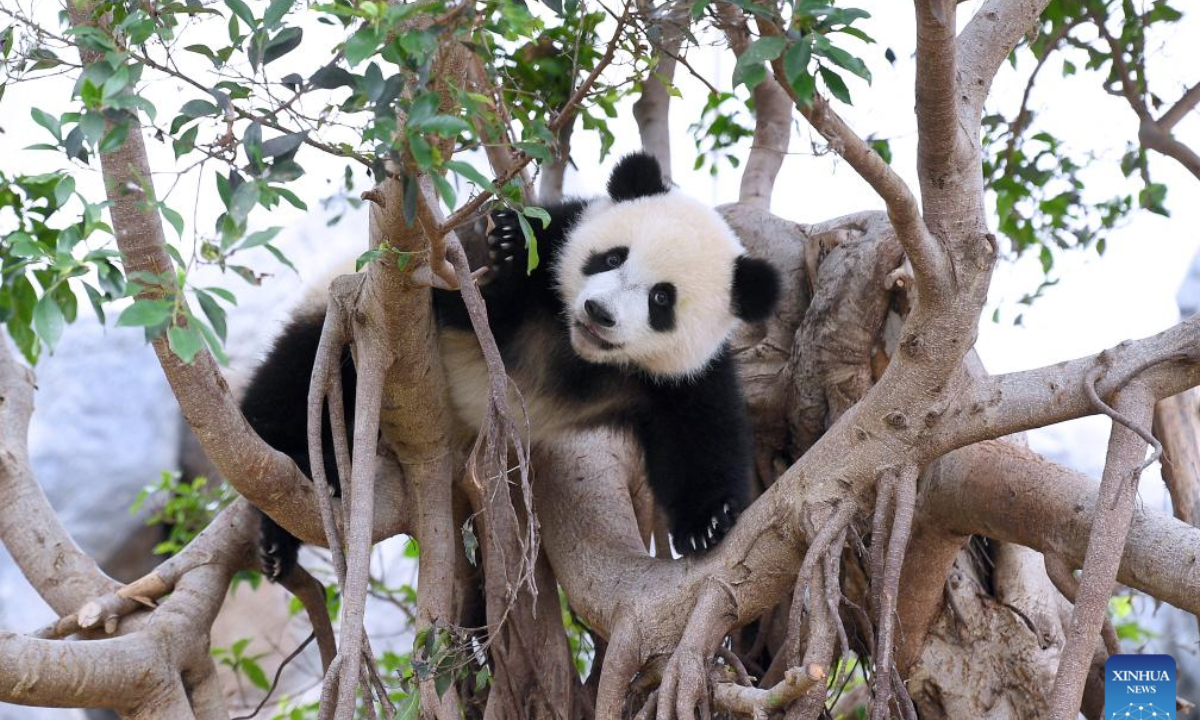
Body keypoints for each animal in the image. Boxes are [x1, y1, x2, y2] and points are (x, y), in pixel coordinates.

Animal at [241, 152, 781, 581]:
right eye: (611, 258)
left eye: (661, 299)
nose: (599, 312)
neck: (575, 348)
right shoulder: (473, 257)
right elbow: (464, 283)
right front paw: (513, 250)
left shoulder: (683, 377)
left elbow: (699, 437)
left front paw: (709, 522)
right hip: (348, 322)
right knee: (294, 384)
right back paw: (295, 485)